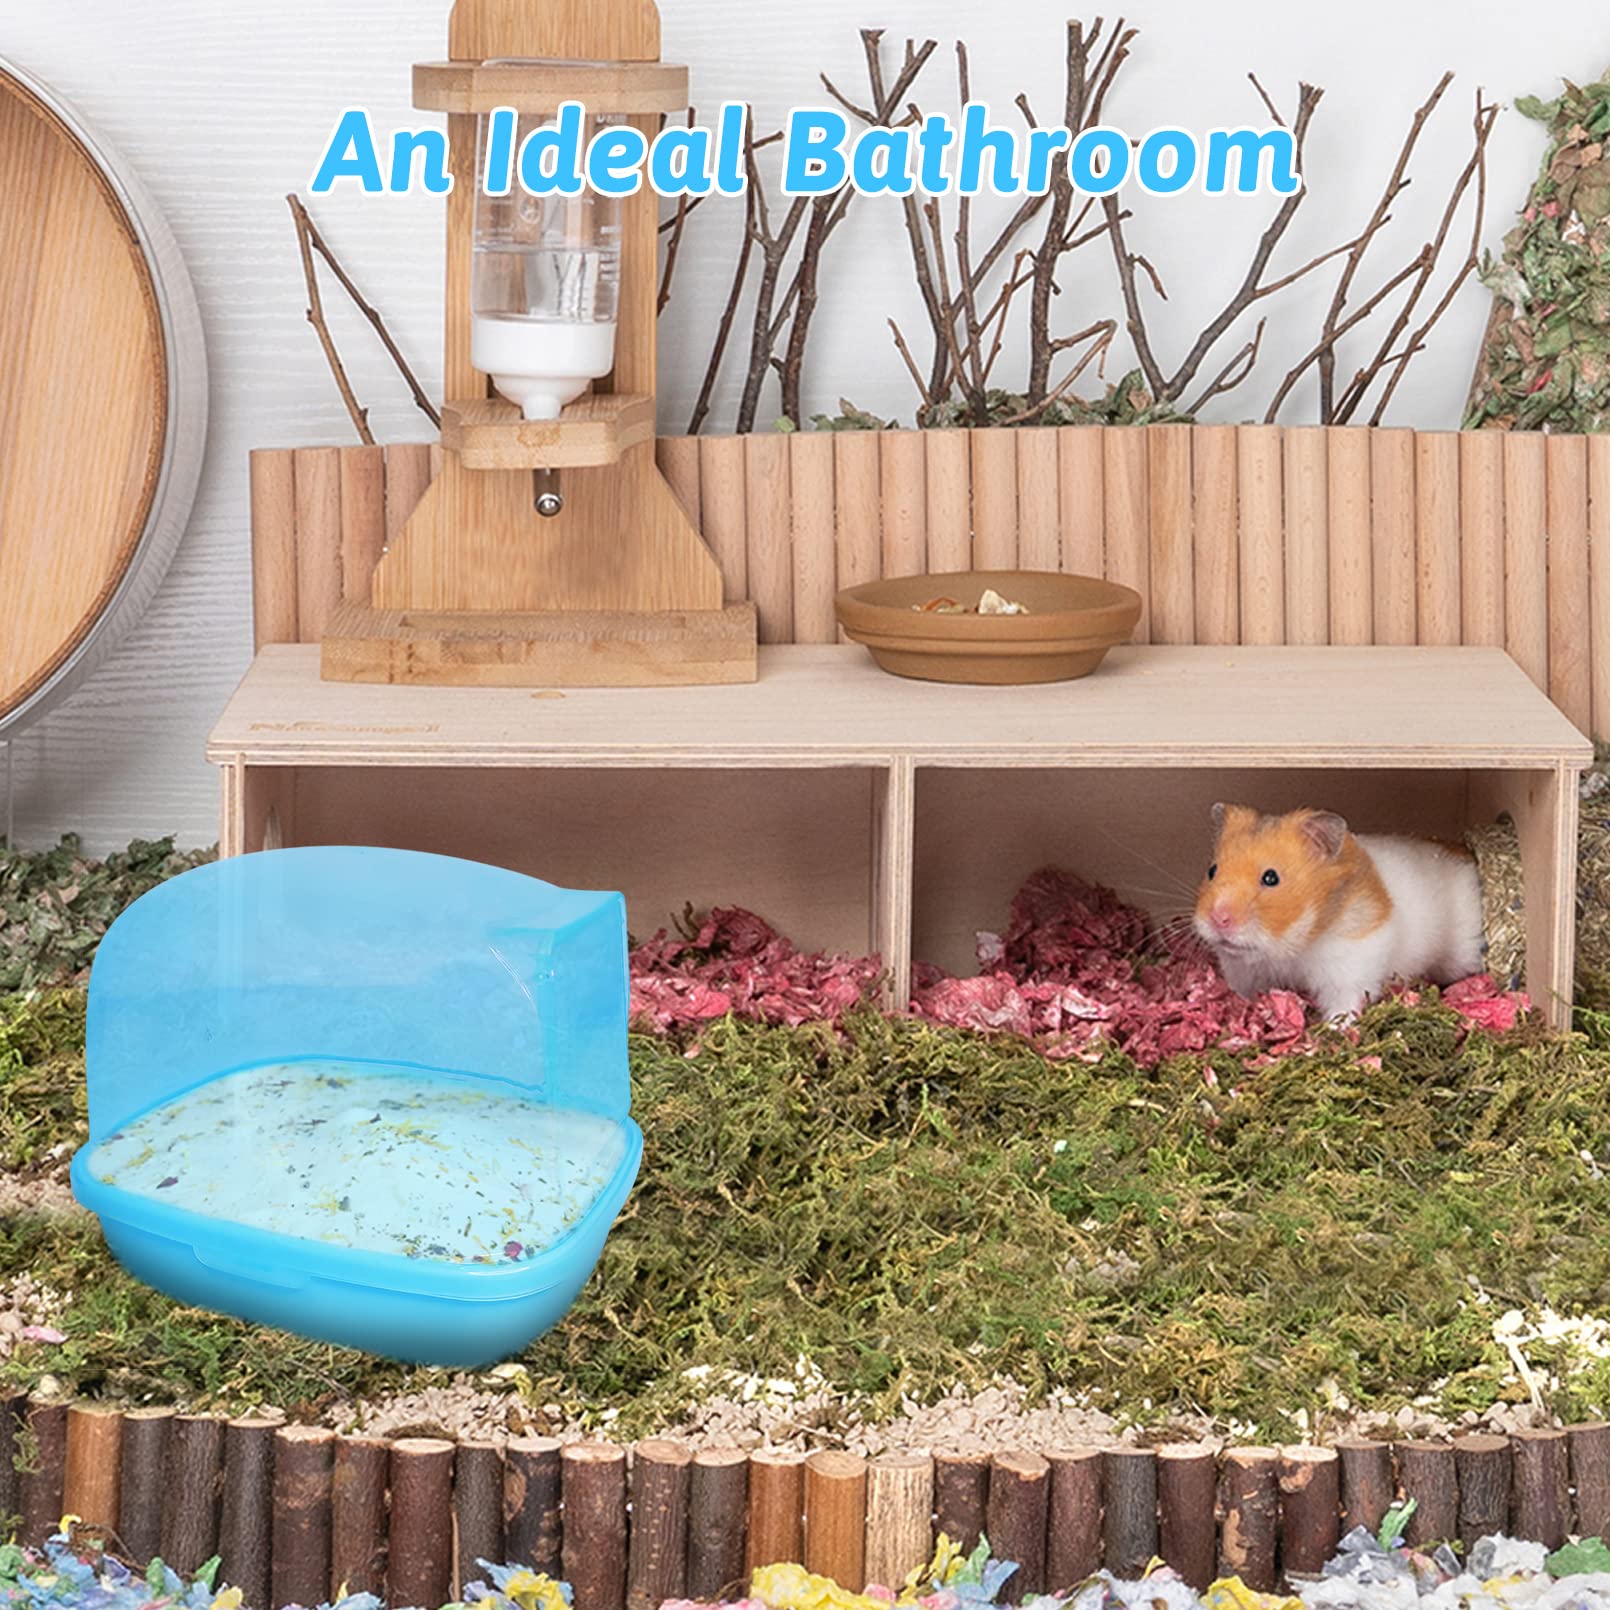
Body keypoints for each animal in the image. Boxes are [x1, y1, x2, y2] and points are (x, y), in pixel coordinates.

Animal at [1193, 803, 1485, 1021]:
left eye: (1271, 878)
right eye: (1212, 870)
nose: (1218, 919)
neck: (1294, 945)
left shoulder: (1350, 966)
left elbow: (1344, 1005)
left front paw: (1333, 1032)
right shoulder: (1244, 972)